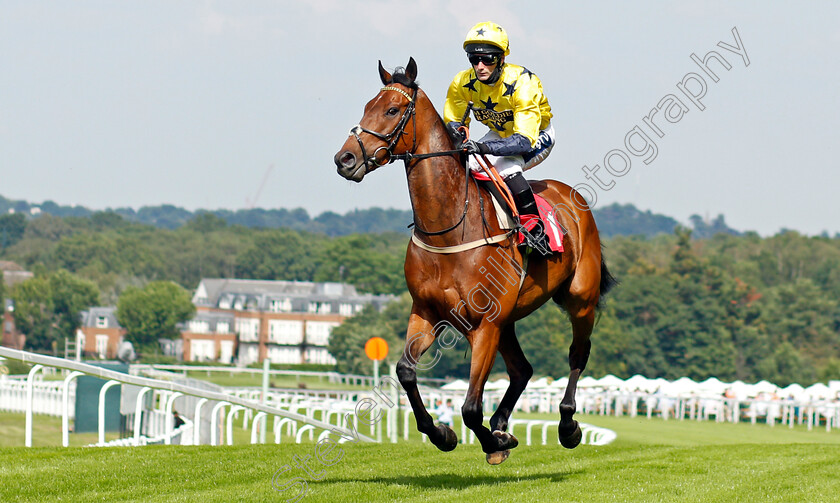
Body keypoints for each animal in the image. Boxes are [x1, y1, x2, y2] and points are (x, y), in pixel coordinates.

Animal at [334, 58, 616, 464]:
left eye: (392, 110)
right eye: (367, 106)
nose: (345, 159)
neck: (450, 227)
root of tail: (573, 197)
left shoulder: (485, 324)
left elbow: (469, 407)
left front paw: (492, 442)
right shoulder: (428, 313)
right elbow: (406, 371)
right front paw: (443, 434)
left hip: (579, 300)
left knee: (578, 354)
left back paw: (567, 426)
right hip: (510, 319)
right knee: (522, 370)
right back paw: (500, 424)